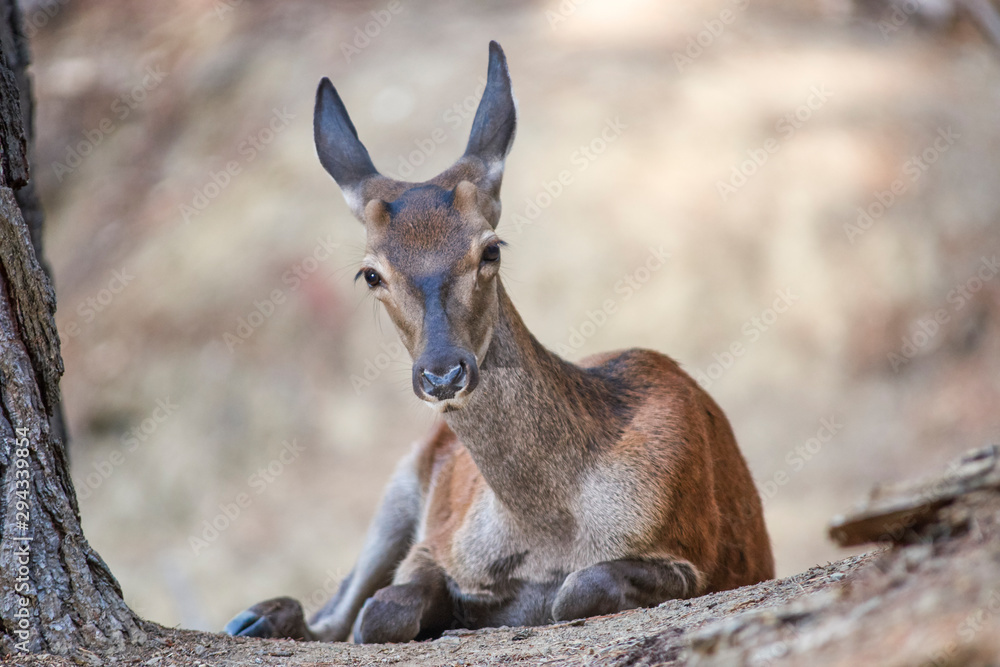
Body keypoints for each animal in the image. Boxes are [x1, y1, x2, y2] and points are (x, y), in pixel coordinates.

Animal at [224, 41, 774, 645]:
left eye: (490, 249)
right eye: (371, 274)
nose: (443, 373)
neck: (547, 527)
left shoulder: (694, 548)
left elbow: (577, 589)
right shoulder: (434, 540)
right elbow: (382, 610)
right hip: (400, 484)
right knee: (340, 610)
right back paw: (253, 617)